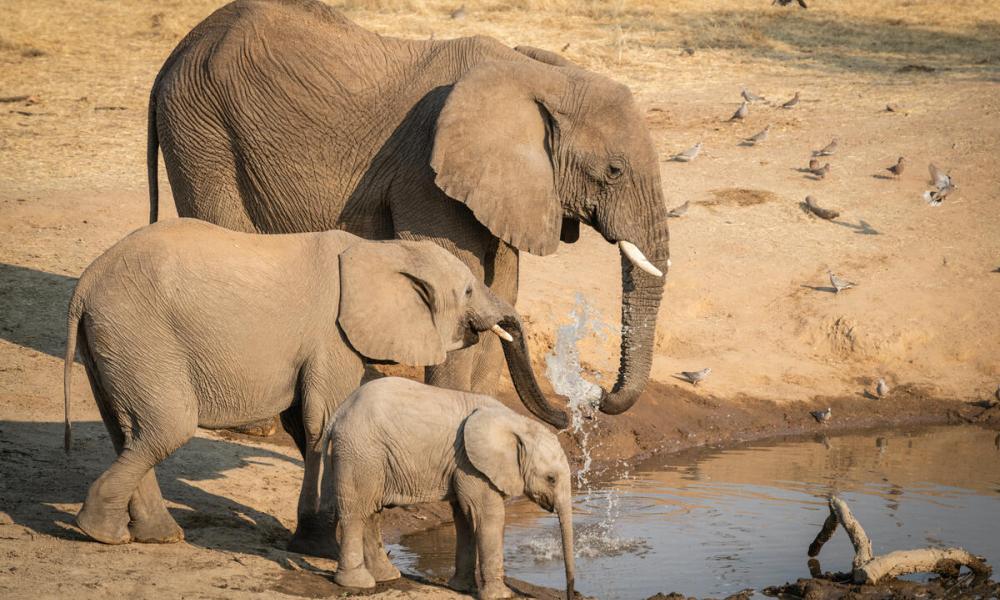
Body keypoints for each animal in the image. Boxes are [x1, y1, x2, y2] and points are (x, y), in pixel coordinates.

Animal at [63, 218, 556, 556]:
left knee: (129, 431)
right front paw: (322, 546)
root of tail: (84, 286)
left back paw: (138, 535)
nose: (567, 416)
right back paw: (106, 533)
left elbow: (308, 425)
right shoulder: (331, 334)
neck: (380, 250)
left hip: (115, 343)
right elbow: (324, 419)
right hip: (139, 333)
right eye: (469, 291)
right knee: (167, 428)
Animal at [148, 0, 672, 422]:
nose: (593, 401)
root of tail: (175, 53)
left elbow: (502, 285)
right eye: (614, 171)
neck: (534, 75)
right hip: (201, 129)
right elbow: (458, 281)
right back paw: (251, 424)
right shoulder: (426, 174)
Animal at [326, 378, 576, 596]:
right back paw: (358, 583)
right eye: (551, 478)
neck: (517, 423)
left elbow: (465, 516)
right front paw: (502, 595)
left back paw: (387, 576)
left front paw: (463, 588)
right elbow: (487, 515)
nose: (571, 594)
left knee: (371, 511)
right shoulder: (471, 464)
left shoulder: (463, 463)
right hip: (360, 452)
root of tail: (338, 412)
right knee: (356, 511)